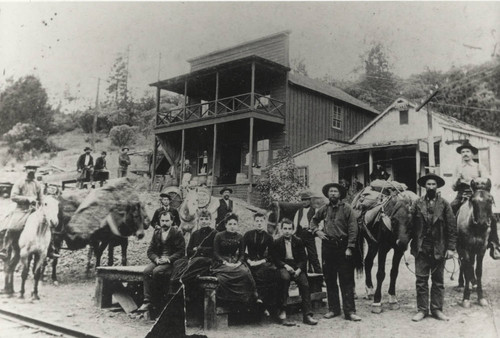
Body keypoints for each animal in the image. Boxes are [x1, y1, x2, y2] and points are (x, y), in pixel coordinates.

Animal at [458, 180, 492, 308]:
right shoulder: (465, 249)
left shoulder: (481, 249)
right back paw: (461, 284)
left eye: (490, 200)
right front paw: (466, 298)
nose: (482, 223)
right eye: (473, 201)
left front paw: (480, 297)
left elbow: (478, 271)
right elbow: (467, 270)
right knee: (463, 265)